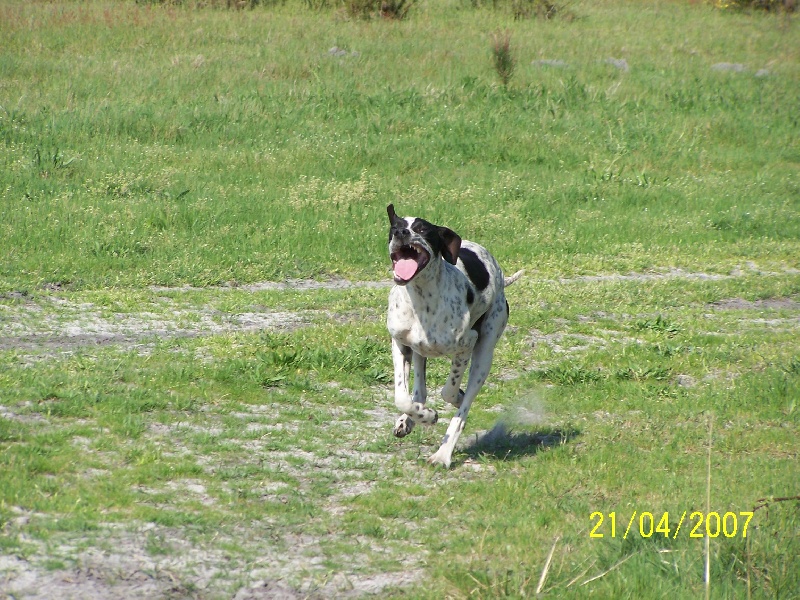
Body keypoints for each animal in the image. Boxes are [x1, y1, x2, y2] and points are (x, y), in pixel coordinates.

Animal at [384, 206, 520, 468]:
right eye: (394, 227)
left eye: (422, 229)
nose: (401, 233)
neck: (421, 298)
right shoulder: (401, 344)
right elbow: (402, 397)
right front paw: (423, 415)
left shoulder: (466, 345)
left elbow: (448, 392)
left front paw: (450, 401)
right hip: (419, 352)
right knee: (419, 392)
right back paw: (410, 419)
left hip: (484, 354)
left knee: (462, 411)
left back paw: (443, 454)